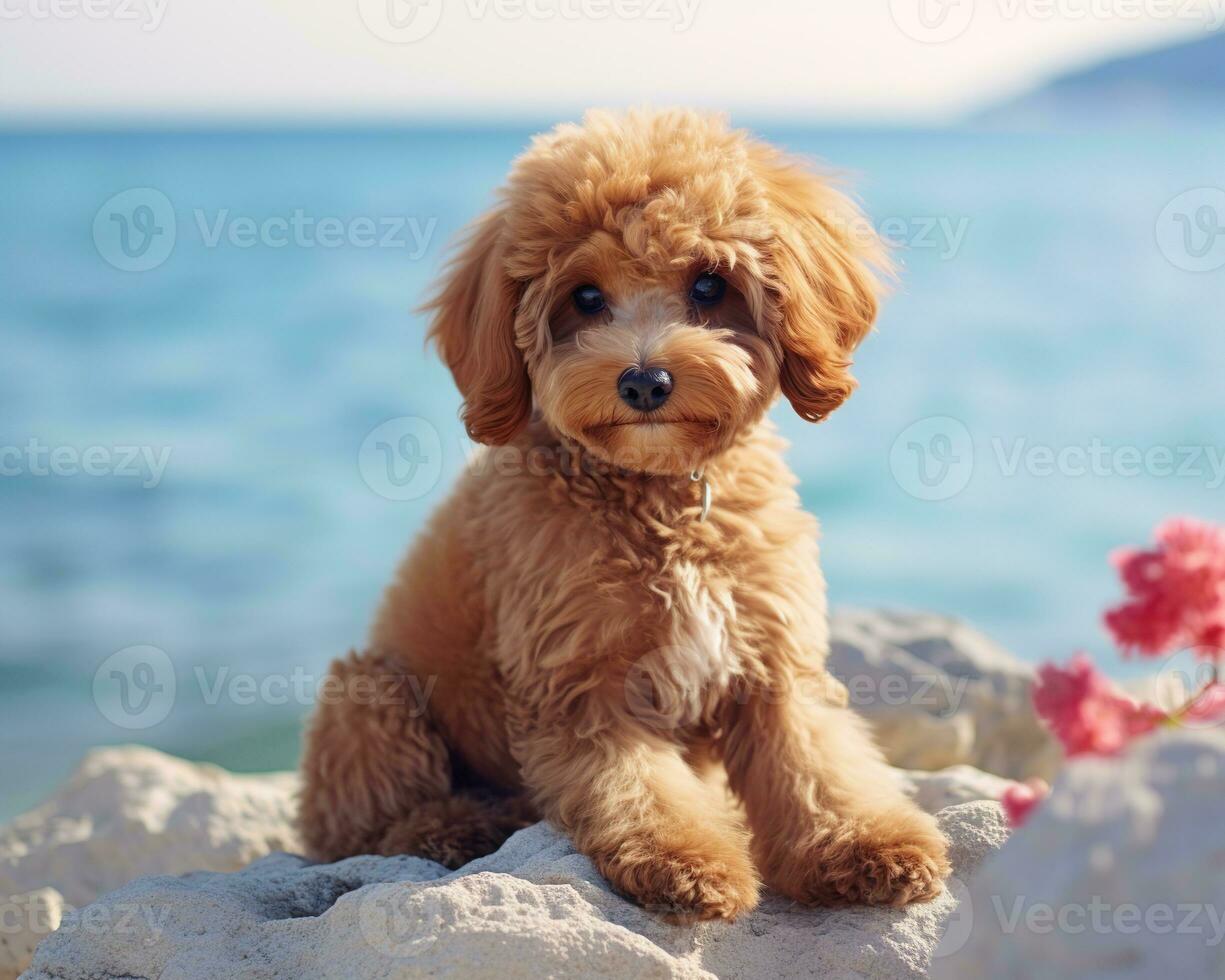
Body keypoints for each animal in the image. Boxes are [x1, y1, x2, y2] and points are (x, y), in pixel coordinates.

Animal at [301, 107, 950, 921]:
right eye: (584, 298)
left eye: (709, 284)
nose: (645, 382)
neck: (662, 500)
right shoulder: (582, 683)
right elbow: (638, 788)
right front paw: (689, 863)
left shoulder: (773, 656)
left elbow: (816, 766)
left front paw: (868, 845)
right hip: (368, 693)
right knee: (369, 827)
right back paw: (460, 823)